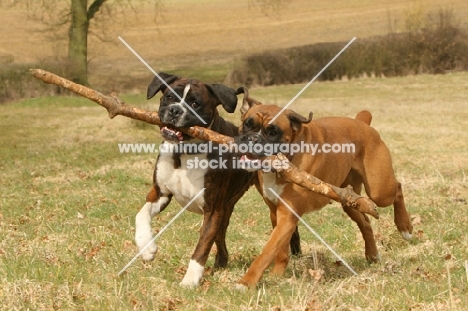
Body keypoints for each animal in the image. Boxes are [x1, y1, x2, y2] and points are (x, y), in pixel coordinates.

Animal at [234, 92, 414, 290]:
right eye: (247, 124)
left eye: (273, 132)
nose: (253, 139)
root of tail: (363, 123)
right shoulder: (276, 213)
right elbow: (280, 249)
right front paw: (277, 276)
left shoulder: (288, 216)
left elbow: (267, 251)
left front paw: (246, 282)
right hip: (349, 199)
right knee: (365, 222)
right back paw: (373, 255)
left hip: (379, 190)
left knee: (398, 189)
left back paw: (405, 228)